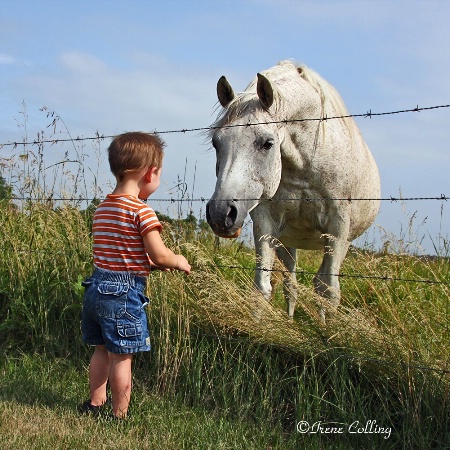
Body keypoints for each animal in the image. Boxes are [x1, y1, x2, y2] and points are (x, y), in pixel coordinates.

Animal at [205, 60, 380, 320]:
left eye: (267, 143)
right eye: (216, 142)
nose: (220, 213)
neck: (306, 163)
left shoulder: (337, 229)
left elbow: (330, 292)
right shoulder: (266, 224)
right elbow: (262, 287)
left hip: (340, 243)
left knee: (320, 285)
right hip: (288, 242)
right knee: (292, 284)